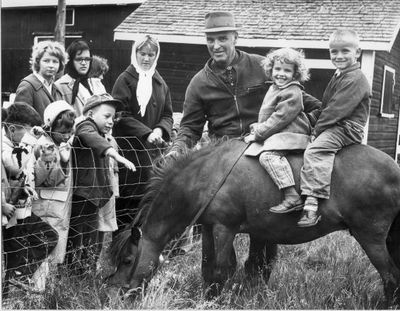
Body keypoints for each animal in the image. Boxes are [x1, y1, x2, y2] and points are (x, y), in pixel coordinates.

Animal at [108, 139, 400, 308]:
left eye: (127, 260)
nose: (115, 294)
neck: (208, 175)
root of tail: (395, 168)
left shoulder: (225, 229)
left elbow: (221, 269)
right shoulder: (210, 229)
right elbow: (208, 268)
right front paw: (208, 298)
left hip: (371, 237)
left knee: (391, 277)